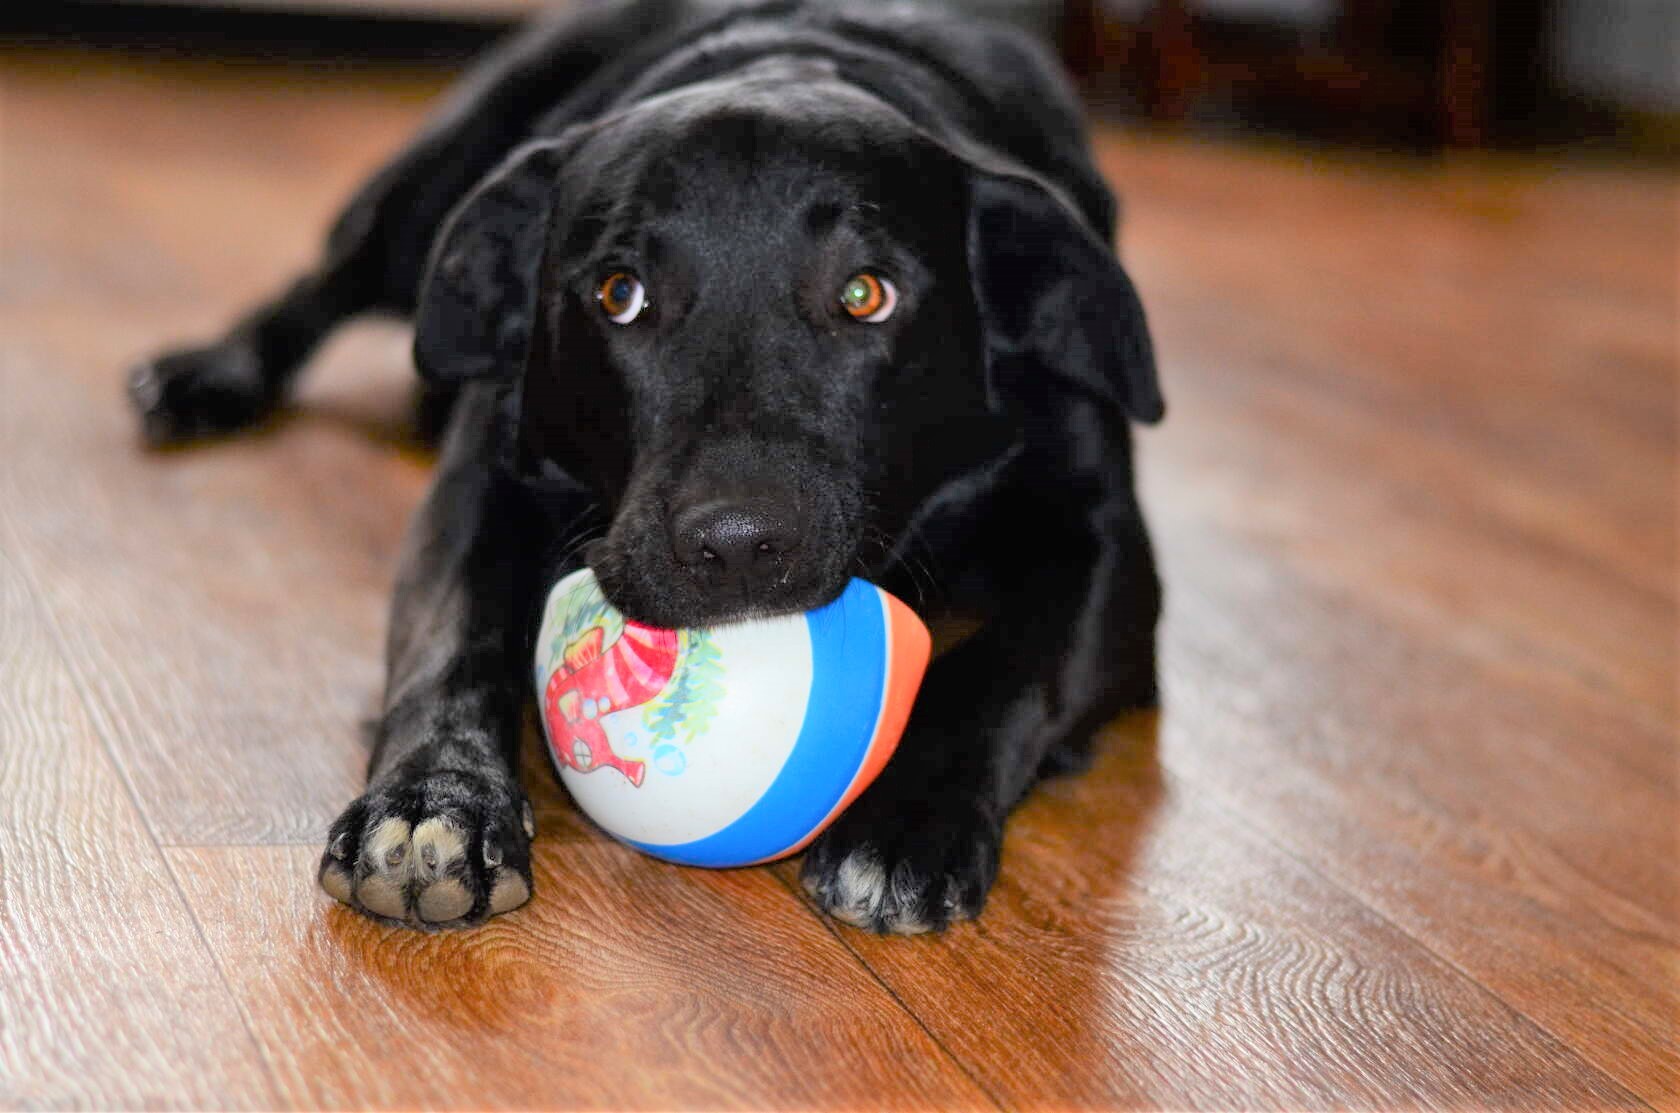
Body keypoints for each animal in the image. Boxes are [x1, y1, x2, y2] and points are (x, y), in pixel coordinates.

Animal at [131, 0, 1162, 934]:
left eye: (867, 295)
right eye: (618, 294)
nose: (738, 545)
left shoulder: (1109, 548)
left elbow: (1004, 667)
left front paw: (907, 821)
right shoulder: (479, 482)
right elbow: (450, 638)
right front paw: (437, 800)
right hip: (421, 199)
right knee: (323, 283)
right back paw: (206, 374)